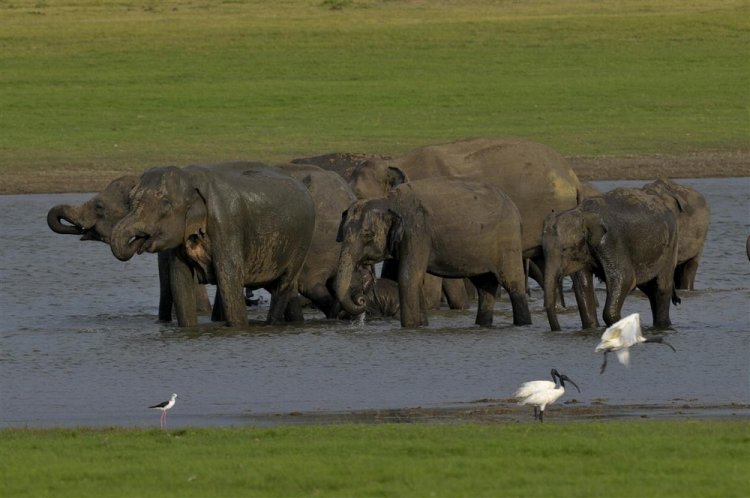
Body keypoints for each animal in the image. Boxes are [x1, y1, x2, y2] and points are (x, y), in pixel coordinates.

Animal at [108, 161, 314, 328]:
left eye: (165, 204)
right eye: (129, 200)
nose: (139, 240)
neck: (189, 178)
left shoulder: (226, 224)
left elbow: (229, 278)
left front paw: (239, 329)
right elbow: (180, 281)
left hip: (302, 243)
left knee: (283, 286)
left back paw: (272, 325)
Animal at [334, 177, 536, 328]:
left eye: (367, 235)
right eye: (342, 233)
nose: (361, 300)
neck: (389, 200)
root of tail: (516, 210)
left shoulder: (417, 232)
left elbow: (407, 278)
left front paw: (411, 328)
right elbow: (413, 279)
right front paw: (423, 326)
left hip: (508, 241)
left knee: (512, 285)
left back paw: (523, 324)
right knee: (485, 287)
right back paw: (483, 325)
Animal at [544, 187, 684, 330]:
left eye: (565, 249)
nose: (558, 330)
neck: (582, 213)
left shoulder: (611, 242)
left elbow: (625, 278)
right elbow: (583, 285)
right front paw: (592, 328)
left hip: (671, 245)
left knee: (661, 286)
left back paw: (662, 326)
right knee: (649, 288)